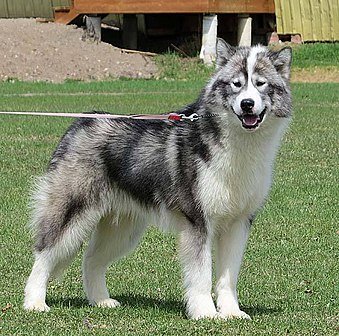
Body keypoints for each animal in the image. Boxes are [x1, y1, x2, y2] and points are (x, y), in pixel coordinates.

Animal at [25, 39, 294, 320]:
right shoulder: (198, 221)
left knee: (90, 260)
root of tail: (78, 124)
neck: (240, 147)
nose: (247, 104)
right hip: (71, 210)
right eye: (237, 84)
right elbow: (201, 275)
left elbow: (227, 278)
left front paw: (231, 312)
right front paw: (205, 313)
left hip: (123, 229)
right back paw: (35, 302)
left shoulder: (238, 223)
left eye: (261, 83)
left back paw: (101, 300)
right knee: (43, 254)